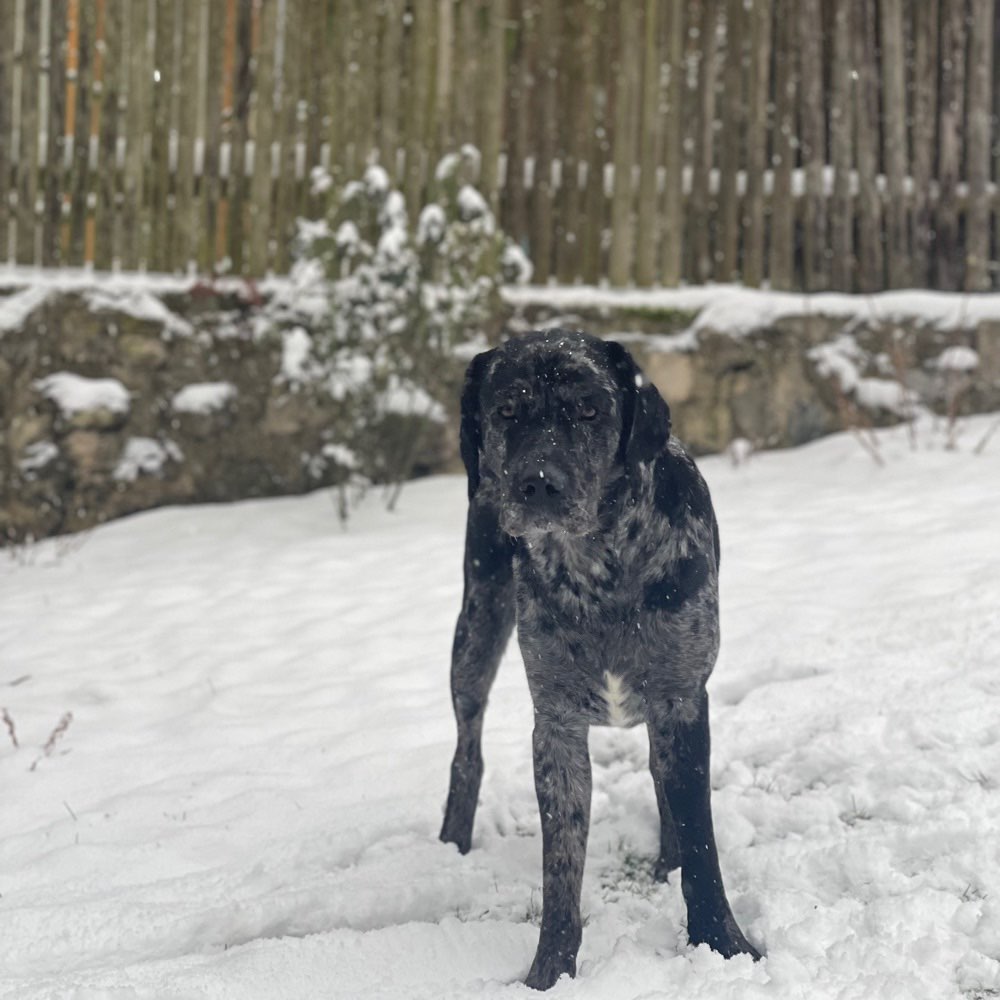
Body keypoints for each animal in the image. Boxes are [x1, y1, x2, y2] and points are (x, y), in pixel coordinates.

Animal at [438, 332, 756, 988]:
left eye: (589, 409)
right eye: (506, 411)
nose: (538, 483)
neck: (595, 567)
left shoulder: (682, 699)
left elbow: (701, 839)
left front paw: (723, 944)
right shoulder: (556, 724)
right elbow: (560, 867)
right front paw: (549, 974)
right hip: (475, 627)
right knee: (467, 748)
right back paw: (450, 845)